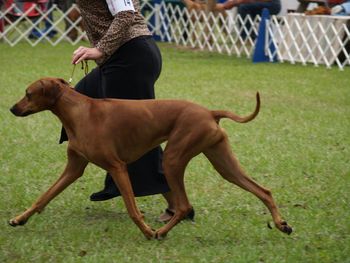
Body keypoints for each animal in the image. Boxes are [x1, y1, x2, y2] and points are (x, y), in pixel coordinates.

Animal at [8, 78, 292, 239]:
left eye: (28, 93)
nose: (12, 108)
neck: (78, 111)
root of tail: (209, 112)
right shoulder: (73, 169)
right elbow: (43, 197)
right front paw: (20, 219)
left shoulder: (118, 167)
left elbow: (133, 209)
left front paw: (145, 230)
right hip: (223, 163)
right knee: (263, 190)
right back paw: (282, 224)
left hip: (173, 160)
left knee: (184, 206)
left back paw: (159, 233)